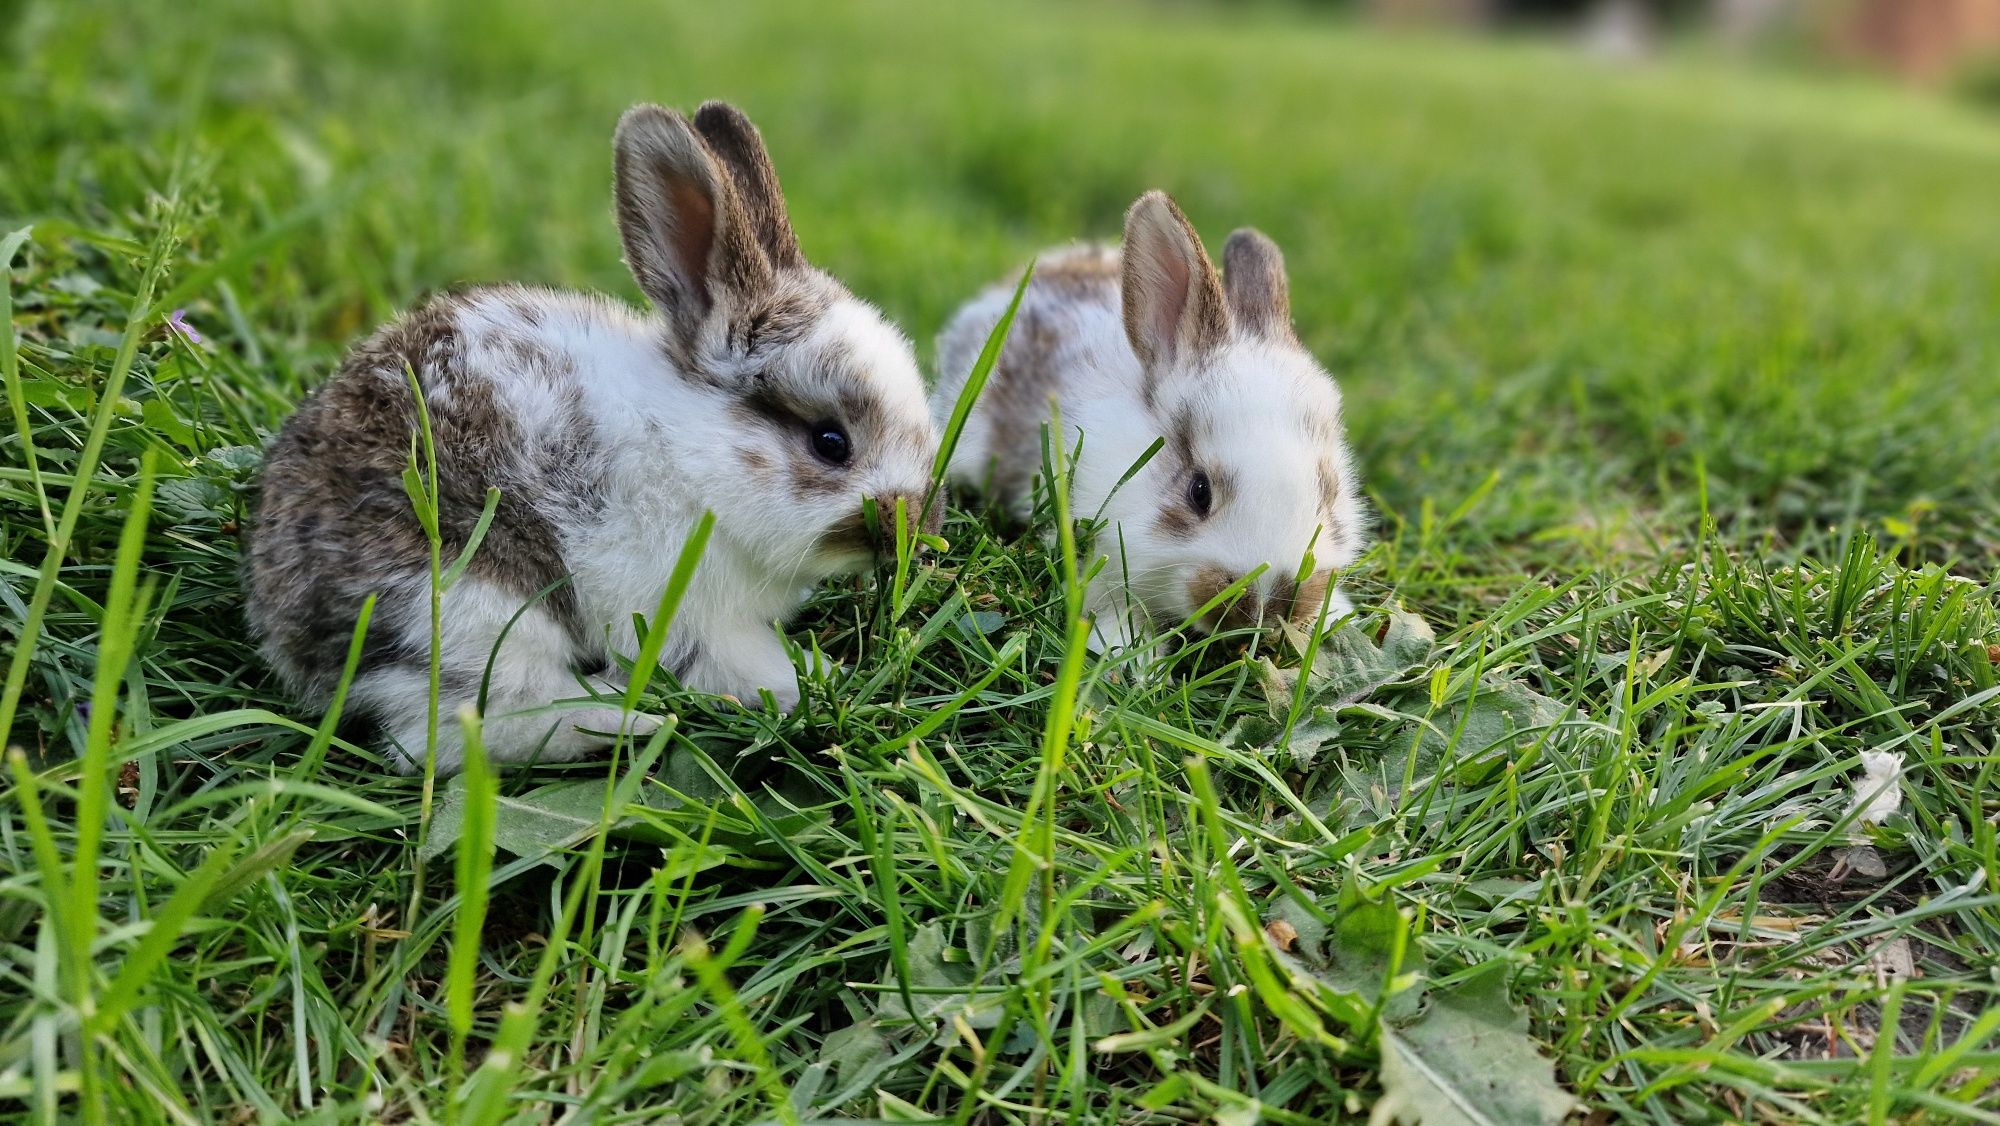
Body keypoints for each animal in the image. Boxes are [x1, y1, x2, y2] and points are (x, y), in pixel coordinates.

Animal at [244, 103, 936, 776]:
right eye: (830, 442)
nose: (913, 530)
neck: (693, 457)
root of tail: (286, 629)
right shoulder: (697, 618)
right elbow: (747, 664)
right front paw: (818, 682)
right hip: (469, 608)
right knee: (463, 729)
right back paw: (631, 717)